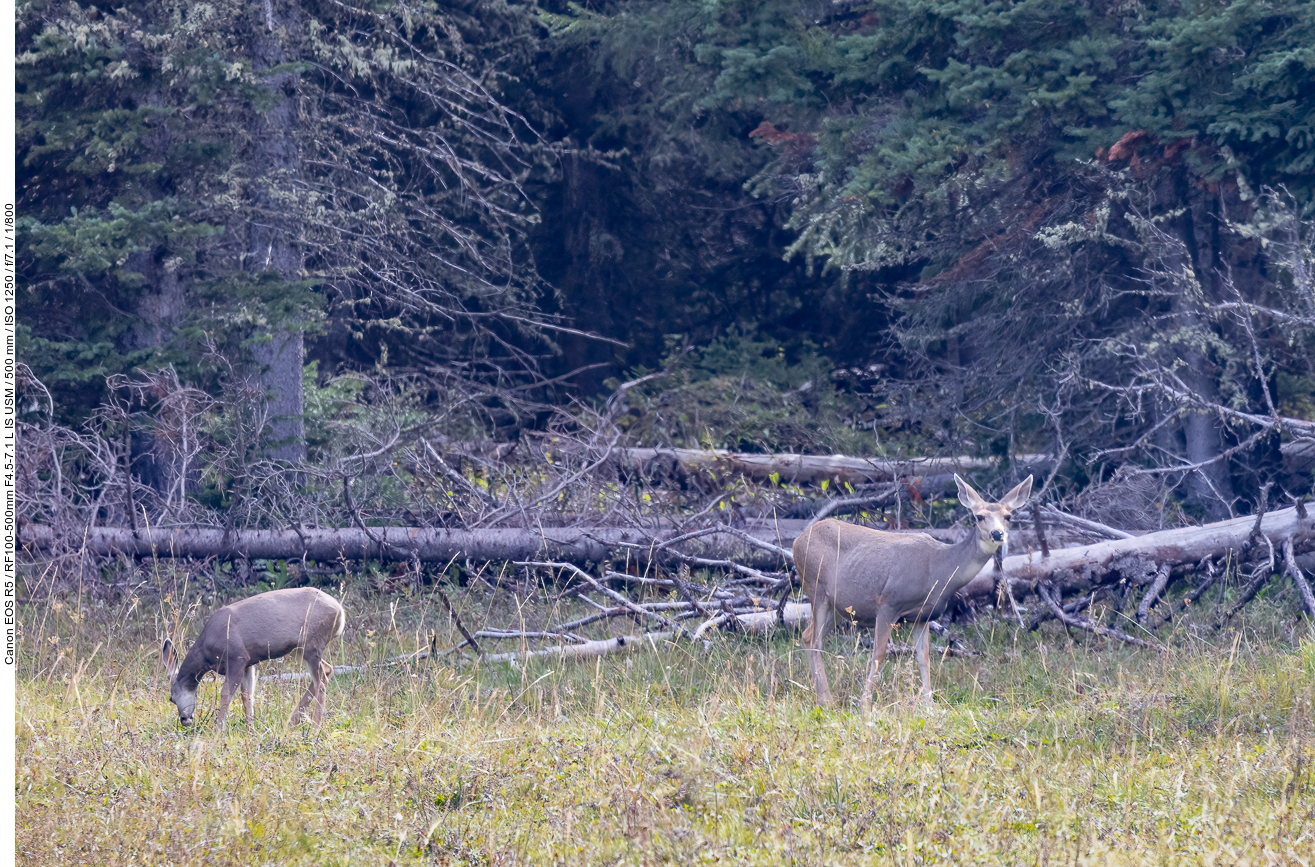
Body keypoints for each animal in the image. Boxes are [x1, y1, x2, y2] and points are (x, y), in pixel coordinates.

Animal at [161, 586, 347, 731]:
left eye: (171, 698)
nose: (185, 720)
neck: (206, 653)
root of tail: (340, 612)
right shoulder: (248, 663)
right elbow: (247, 695)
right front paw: (251, 730)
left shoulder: (236, 657)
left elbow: (226, 694)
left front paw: (218, 730)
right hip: (299, 650)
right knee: (327, 669)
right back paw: (292, 721)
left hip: (312, 643)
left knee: (321, 680)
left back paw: (314, 728)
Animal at [794, 473, 1030, 710]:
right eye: (979, 516)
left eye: (1008, 516)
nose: (997, 533)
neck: (938, 569)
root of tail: (797, 540)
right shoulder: (888, 602)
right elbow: (879, 653)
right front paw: (865, 704)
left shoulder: (923, 616)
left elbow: (923, 657)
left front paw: (930, 705)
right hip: (815, 586)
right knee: (814, 640)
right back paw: (827, 700)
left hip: (836, 605)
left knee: (807, 636)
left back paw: (822, 698)